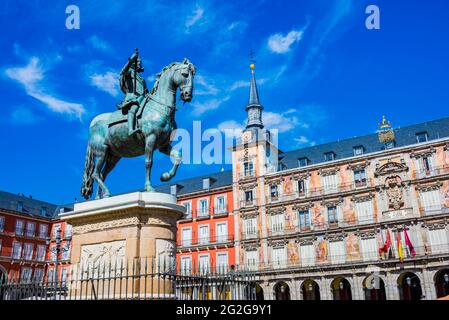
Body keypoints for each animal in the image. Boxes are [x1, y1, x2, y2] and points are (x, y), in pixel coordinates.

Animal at [80, 58, 194, 199]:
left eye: (193, 75)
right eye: (185, 74)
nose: (188, 95)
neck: (160, 108)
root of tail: (92, 123)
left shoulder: (163, 145)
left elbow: (178, 156)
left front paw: (165, 176)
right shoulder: (150, 139)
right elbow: (148, 162)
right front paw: (149, 187)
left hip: (113, 156)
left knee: (101, 174)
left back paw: (100, 198)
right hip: (101, 151)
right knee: (95, 174)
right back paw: (105, 193)